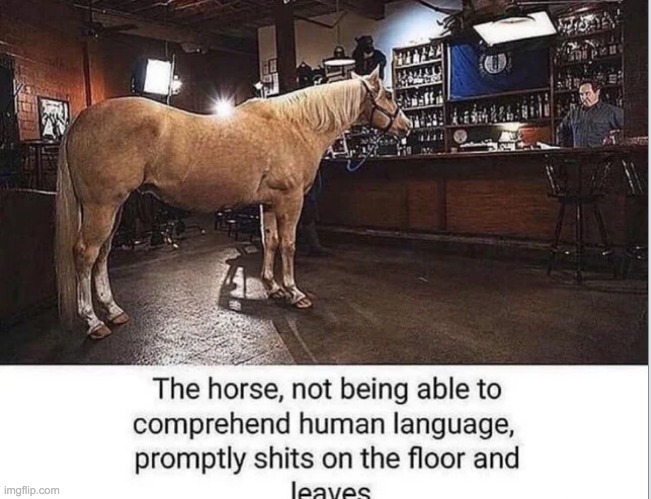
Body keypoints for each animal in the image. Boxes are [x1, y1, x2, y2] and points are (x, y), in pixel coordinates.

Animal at [55, 67, 411, 339]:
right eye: (388, 95)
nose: (407, 127)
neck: (295, 126)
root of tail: (81, 119)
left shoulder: (270, 202)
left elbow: (270, 241)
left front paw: (273, 287)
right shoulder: (291, 200)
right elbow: (289, 245)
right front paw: (294, 293)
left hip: (113, 210)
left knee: (102, 254)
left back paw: (113, 311)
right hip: (102, 207)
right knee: (86, 254)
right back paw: (94, 322)